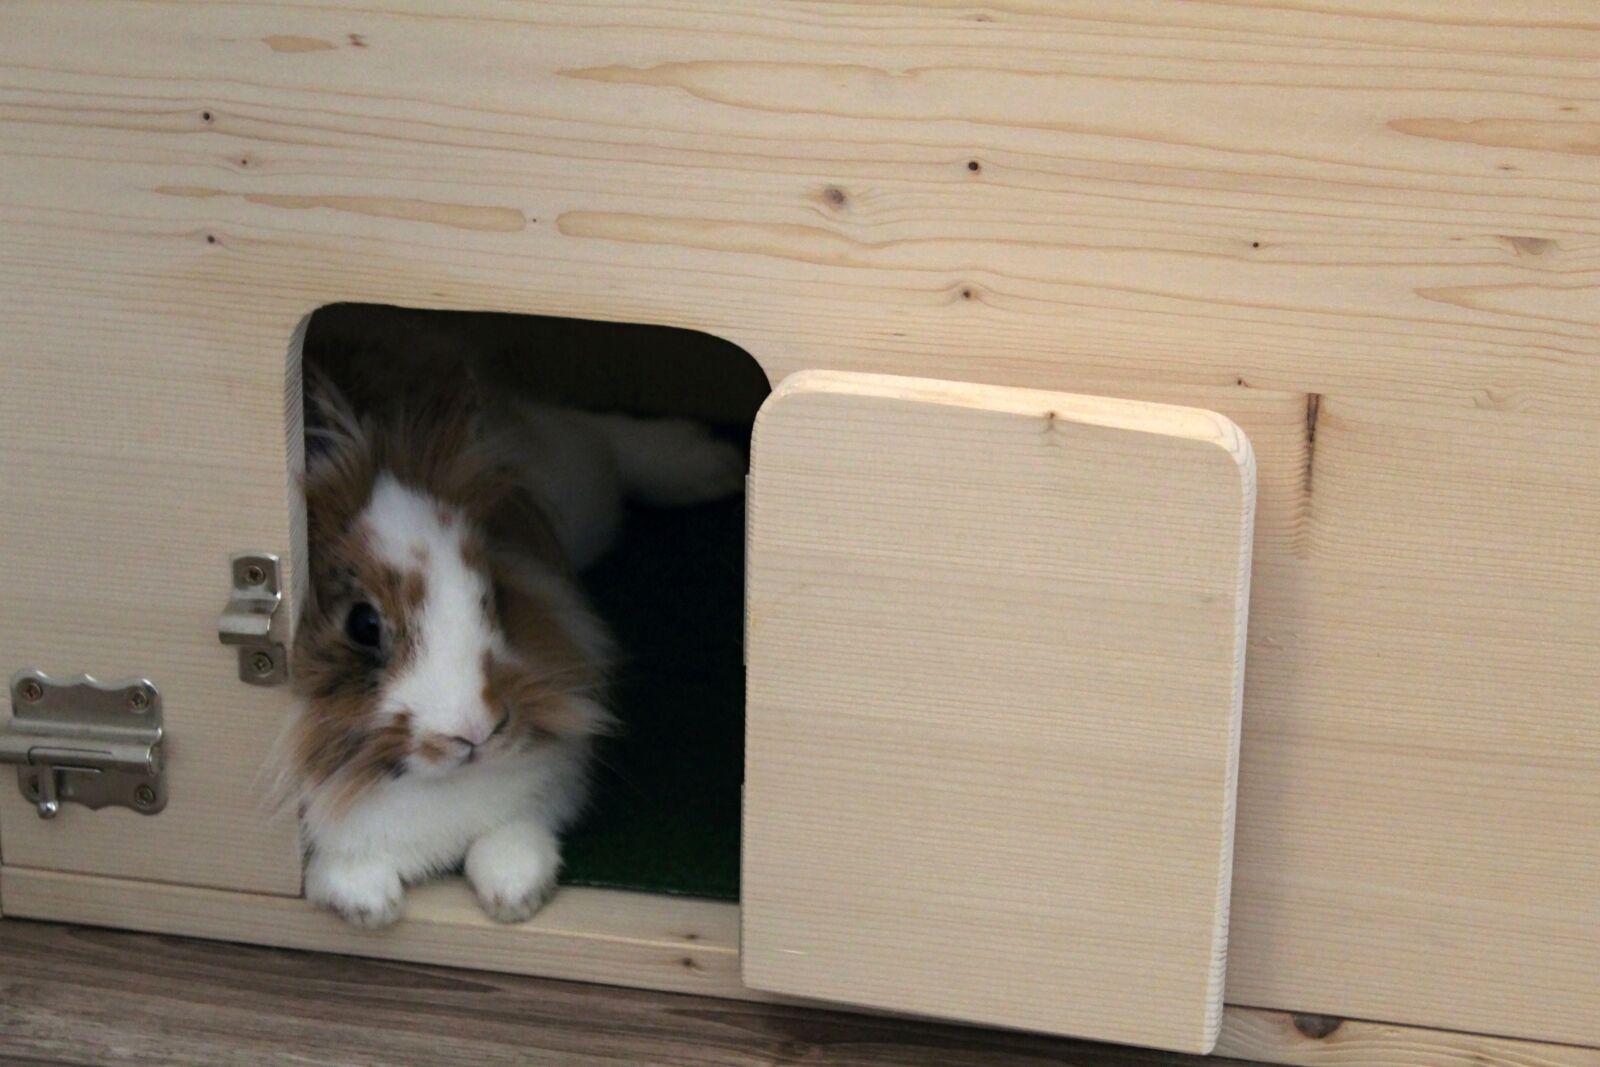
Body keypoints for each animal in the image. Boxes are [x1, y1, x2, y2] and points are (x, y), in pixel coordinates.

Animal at [286, 346, 744, 929]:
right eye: (363, 625)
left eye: (493, 594)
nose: (476, 732)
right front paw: (370, 904)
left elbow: (512, 830)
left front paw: (516, 892)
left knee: (591, 434)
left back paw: (711, 463)